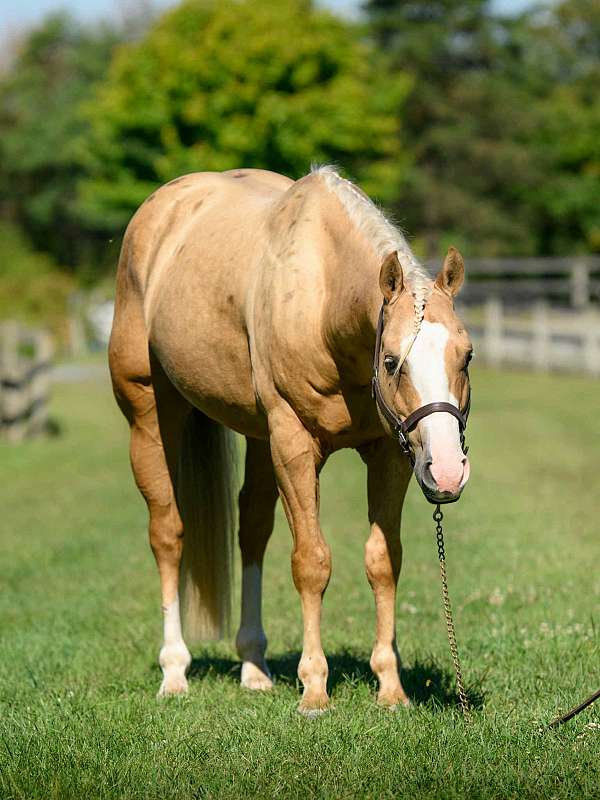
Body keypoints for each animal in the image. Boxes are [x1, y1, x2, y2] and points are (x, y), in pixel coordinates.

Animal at [108, 165, 472, 714]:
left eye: (466, 357)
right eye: (392, 361)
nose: (448, 471)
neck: (322, 303)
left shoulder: (389, 453)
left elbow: (383, 561)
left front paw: (390, 687)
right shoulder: (295, 446)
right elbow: (312, 562)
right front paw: (314, 689)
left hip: (260, 439)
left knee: (252, 528)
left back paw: (254, 667)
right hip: (150, 419)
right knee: (168, 533)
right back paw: (174, 671)